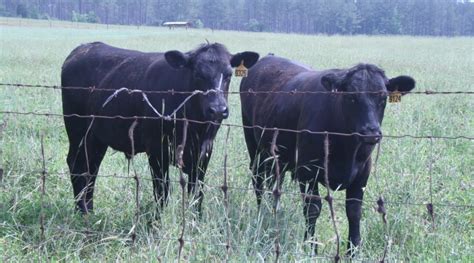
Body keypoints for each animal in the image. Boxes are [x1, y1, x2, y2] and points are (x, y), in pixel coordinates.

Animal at [60, 41, 260, 214]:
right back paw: (82, 210)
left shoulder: (204, 151)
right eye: (197, 74)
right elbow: (162, 191)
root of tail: (83, 48)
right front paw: (157, 222)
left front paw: (196, 219)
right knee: (77, 165)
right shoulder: (156, 150)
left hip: (96, 138)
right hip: (77, 131)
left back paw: (89, 209)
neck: (195, 126)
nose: (218, 109)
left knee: (91, 168)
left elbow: (197, 192)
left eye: (228, 75)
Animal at [241, 55, 414, 256]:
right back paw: (262, 213)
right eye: (351, 97)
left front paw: (353, 250)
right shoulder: (307, 171)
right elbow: (312, 209)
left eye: (383, 97)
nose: (371, 132)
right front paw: (311, 247)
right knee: (258, 181)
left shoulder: (362, 174)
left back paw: (273, 211)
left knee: (275, 183)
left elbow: (354, 211)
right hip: (254, 146)